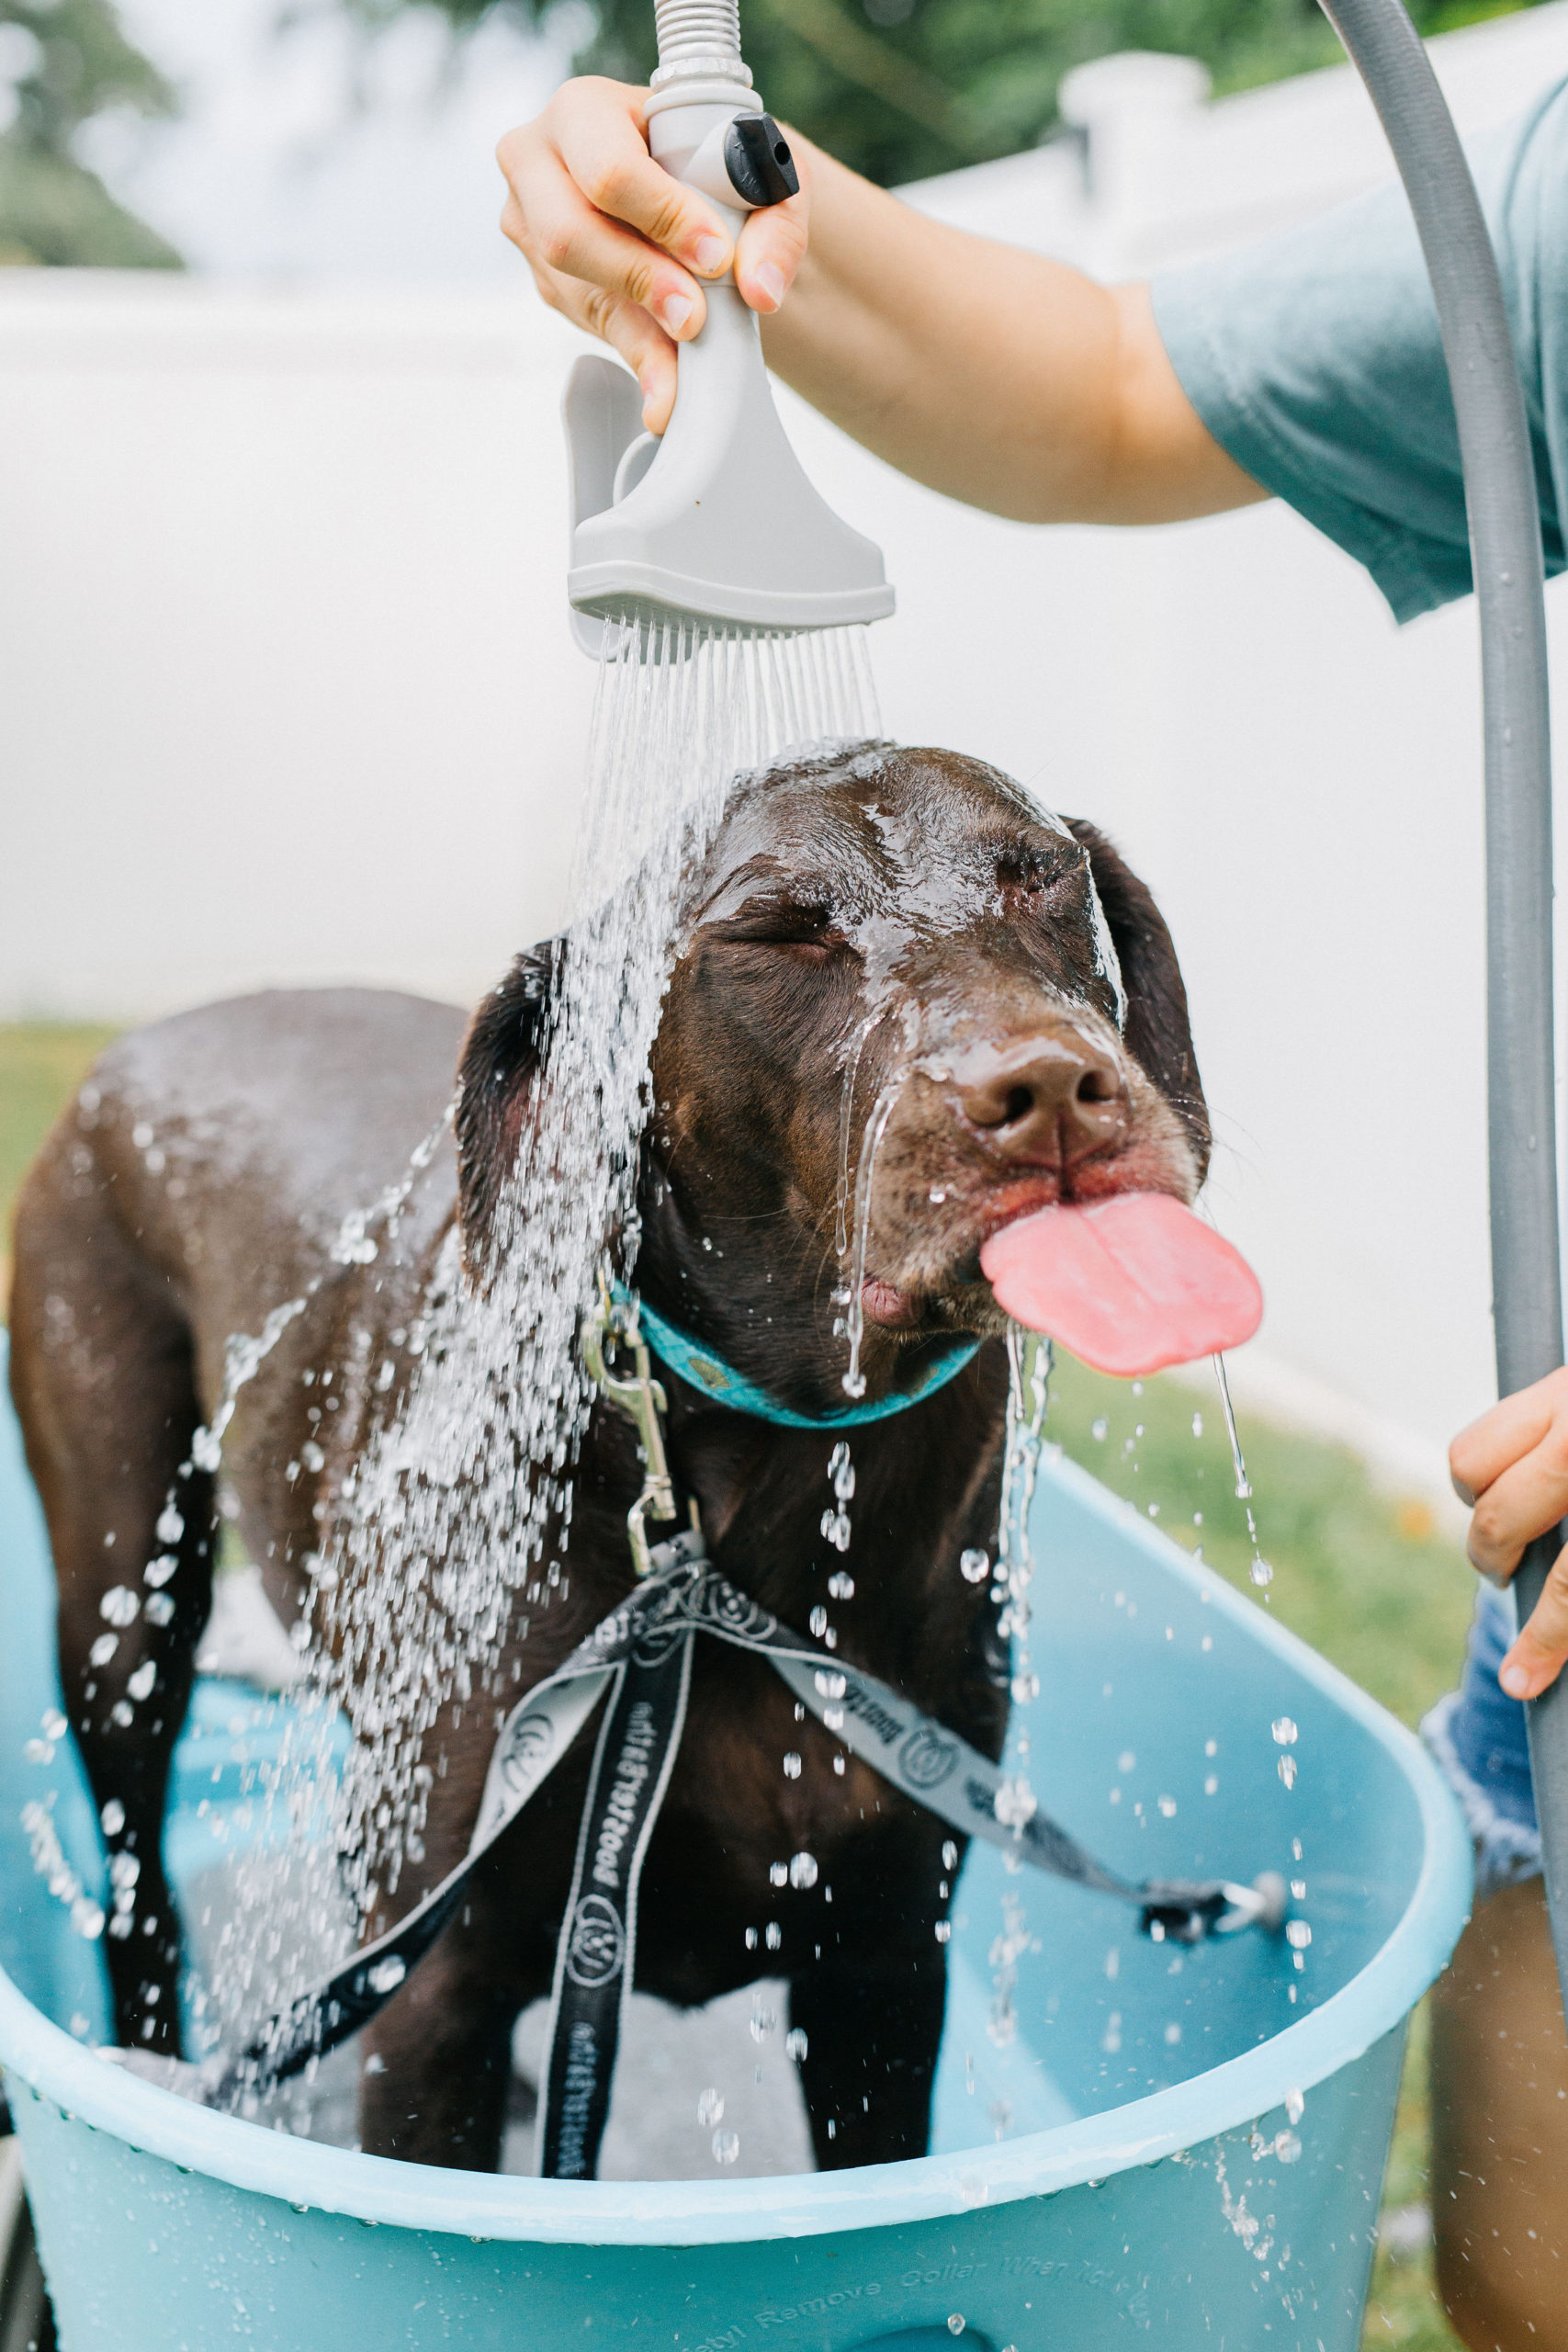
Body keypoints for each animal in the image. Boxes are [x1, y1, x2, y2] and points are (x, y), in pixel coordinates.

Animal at [8, 742, 1203, 2173]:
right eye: (773, 935)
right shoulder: (433, 1994)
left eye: (1045, 878)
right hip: (123, 1594)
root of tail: (141, 1038)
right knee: (141, 1884)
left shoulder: (881, 1973)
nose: (1047, 1094)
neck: (740, 1521)